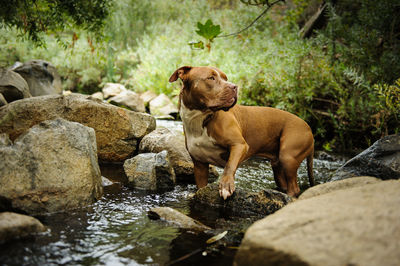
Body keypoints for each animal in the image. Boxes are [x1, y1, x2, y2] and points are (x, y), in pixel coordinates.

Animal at [169, 65, 316, 198]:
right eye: (211, 78)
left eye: (225, 78)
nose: (234, 86)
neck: (200, 118)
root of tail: (308, 127)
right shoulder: (200, 166)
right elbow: (200, 186)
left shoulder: (240, 145)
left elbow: (229, 166)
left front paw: (226, 186)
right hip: (278, 164)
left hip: (288, 155)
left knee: (294, 188)